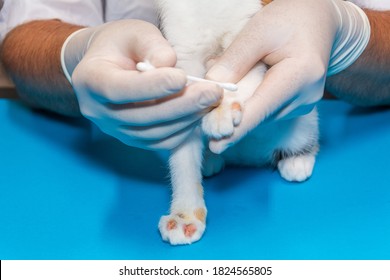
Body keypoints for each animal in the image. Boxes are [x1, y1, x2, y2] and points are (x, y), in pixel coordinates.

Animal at [154, 0, 318, 245]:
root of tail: (250, 158)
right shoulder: (182, 52)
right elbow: (182, 155)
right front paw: (185, 215)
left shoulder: (254, 34)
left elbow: (241, 73)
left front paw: (223, 108)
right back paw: (211, 160)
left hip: (306, 117)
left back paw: (297, 160)